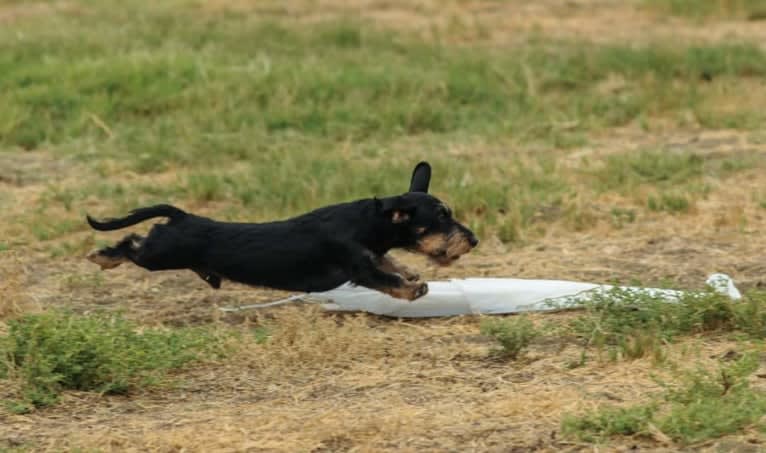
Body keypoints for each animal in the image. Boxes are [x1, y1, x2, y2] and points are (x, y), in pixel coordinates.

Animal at [85, 161, 480, 298]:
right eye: (442, 217)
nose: (474, 240)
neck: (365, 222)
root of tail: (182, 216)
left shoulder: (371, 255)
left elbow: (392, 264)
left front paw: (411, 273)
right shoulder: (357, 267)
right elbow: (386, 279)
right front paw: (413, 288)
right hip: (159, 253)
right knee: (132, 243)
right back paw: (102, 256)